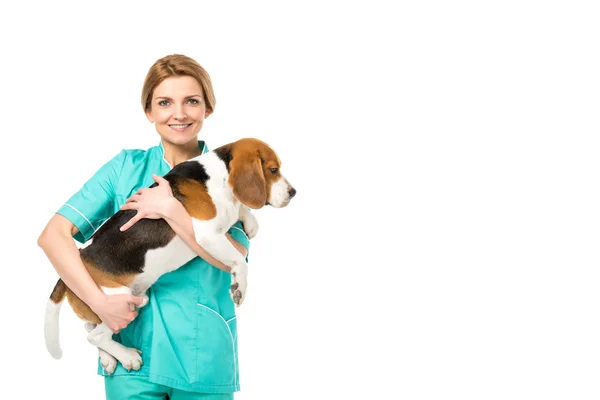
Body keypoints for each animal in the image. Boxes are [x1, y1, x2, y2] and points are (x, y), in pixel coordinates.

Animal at [44, 139, 296, 374]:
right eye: (273, 169)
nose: (293, 193)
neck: (219, 177)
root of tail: (75, 261)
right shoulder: (206, 235)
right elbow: (240, 262)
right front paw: (239, 288)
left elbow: (239, 210)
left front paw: (250, 221)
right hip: (119, 302)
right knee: (95, 336)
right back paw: (127, 356)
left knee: (91, 329)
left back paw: (108, 358)